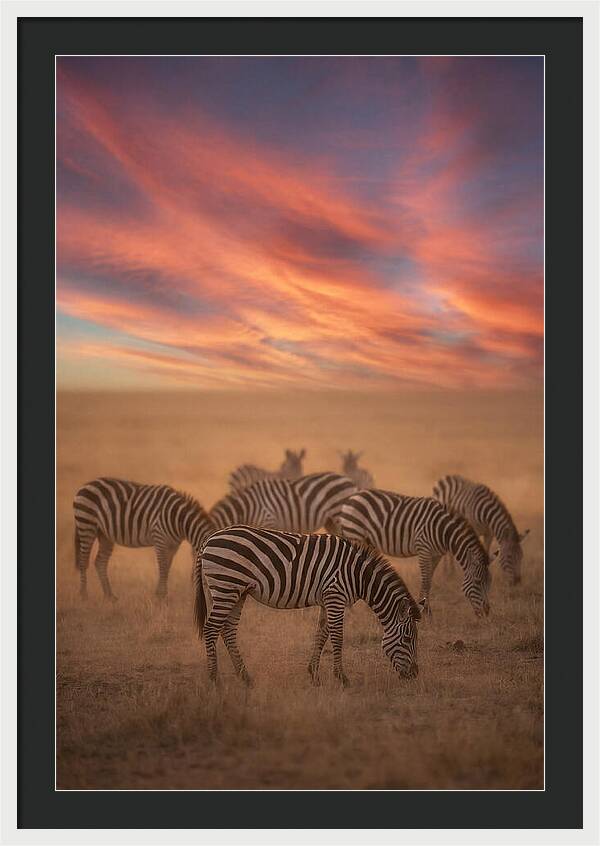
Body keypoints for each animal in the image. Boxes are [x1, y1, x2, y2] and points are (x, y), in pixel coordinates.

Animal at [73, 477, 215, 602]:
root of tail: (86, 485)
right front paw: (161, 597)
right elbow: (163, 566)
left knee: (100, 562)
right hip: (86, 524)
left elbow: (167, 567)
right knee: (83, 560)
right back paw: (83, 595)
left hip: (104, 534)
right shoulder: (159, 538)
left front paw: (161, 595)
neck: (179, 519)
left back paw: (110, 596)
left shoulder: (173, 545)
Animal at [194, 524, 423, 687]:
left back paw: (245, 677)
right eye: (407, 639)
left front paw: (314, 675)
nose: (414, 675)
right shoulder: (335, 595)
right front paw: (342, 678)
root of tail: (209, 539)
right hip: (226, 586)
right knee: (211, 628)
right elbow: (337, 636)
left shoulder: (327, 599)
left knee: (228, 630)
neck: (358, 576)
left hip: (237, 592)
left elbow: (321, 634)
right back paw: (214, 679)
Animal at [332, 488, 491, 618]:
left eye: (489, 583)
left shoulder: (436, 555)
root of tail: (352, 498)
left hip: (366, 540)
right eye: (478, 582)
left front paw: (426, 609)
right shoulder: (424, 549)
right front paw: (426, 613)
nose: (486, 612)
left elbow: (429, 581)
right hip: (355, 532)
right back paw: (351, 610)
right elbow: (425, 581)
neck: (444, 530)